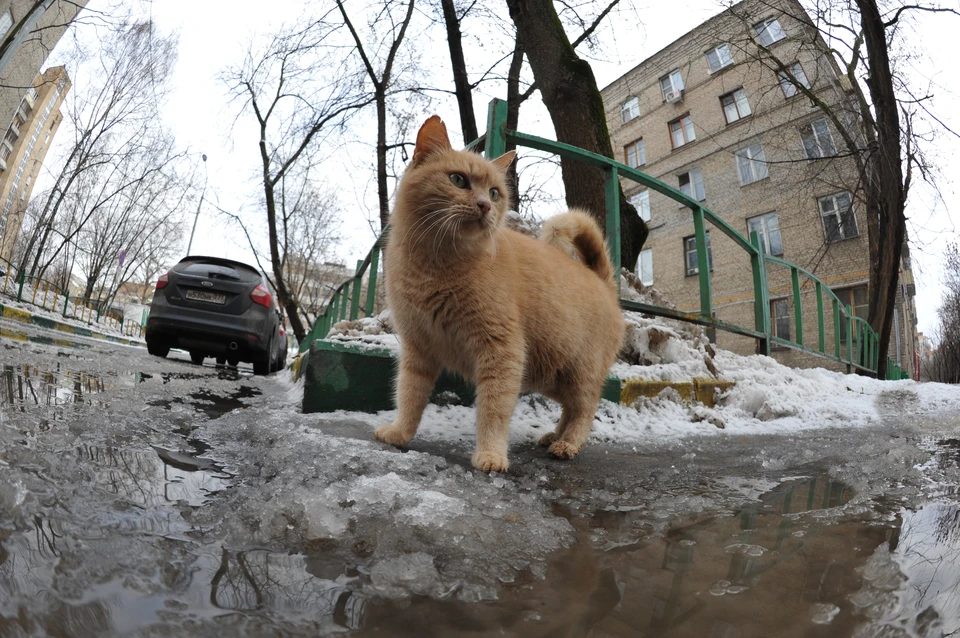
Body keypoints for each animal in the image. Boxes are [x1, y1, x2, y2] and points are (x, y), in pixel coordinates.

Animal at [376, 116, 624, 476]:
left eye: (494, 193)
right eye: (458, 179)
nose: (484, 205)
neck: (435, 264)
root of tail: (603, 281)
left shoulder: (501, 350)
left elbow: (493, 409)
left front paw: (491, 455)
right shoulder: (418, 348)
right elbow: (409, 395)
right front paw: (400, 433)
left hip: (580, 371)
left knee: (585, 408)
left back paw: (567, 444)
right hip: (551, 376)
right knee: (569, 408)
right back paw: (554, 436)